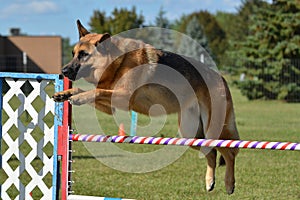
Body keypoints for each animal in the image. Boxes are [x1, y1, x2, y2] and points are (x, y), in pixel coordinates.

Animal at [53, 19, 239, 194]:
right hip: (190, 133)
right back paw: (210, 182)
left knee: (229, 152)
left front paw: (77, 98)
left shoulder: (123, 95)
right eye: (74, 54)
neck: (117, 62)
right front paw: (66, 94)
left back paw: (229, 184)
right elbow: (86, 89)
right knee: (212, 152)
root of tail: (221, 77)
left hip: (212, 128)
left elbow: (96, 91)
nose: (63, 71)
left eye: (84, 55)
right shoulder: (110, 104)